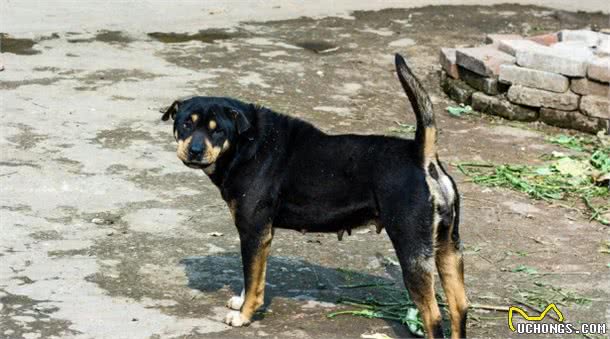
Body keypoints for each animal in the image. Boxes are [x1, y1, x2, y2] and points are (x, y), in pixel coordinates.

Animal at [160, 54, 466, 338]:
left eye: (218, 130)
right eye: (186, 124)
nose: (195, 151)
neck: (246, 142)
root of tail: (421, 155)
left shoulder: (253, 231)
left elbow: (252, 276)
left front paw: (244, 315)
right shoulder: (259, 235)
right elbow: (252, 276)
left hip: (412, 248)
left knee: (433, 316)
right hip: (448, 247)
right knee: (460, 306)